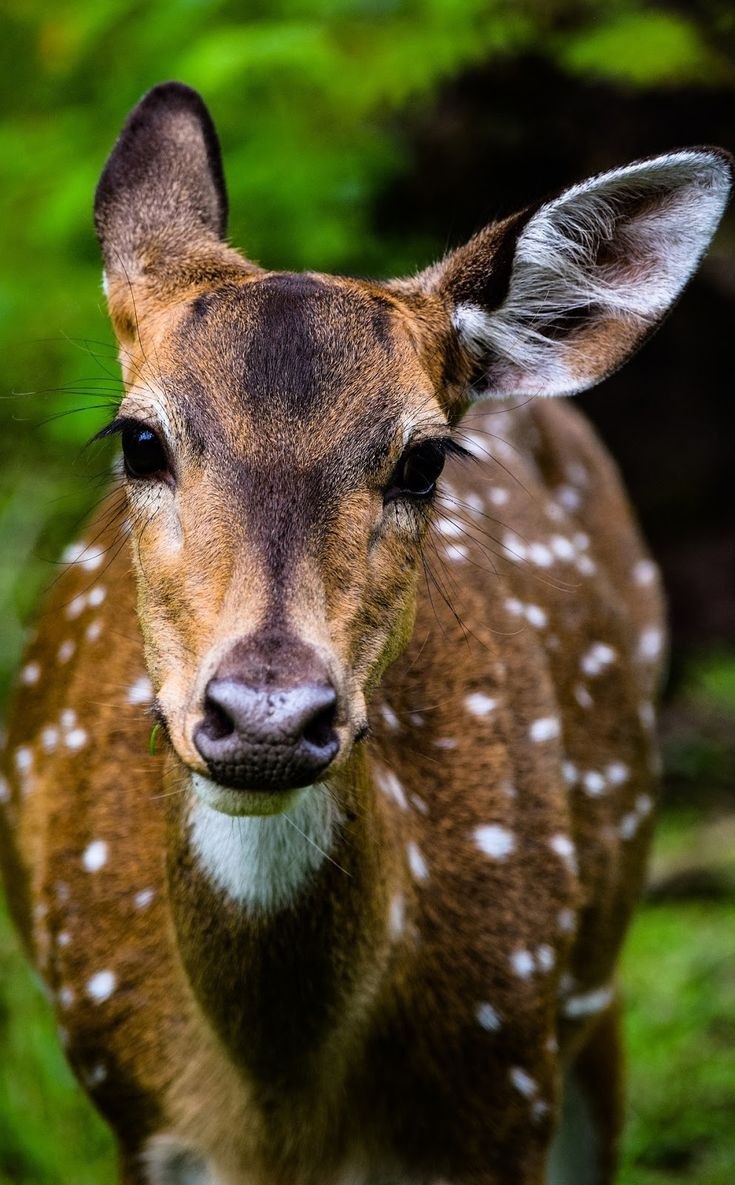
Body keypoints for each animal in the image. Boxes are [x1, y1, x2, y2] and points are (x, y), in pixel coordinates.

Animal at [0, 78, 730, 1180]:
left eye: (423, 461)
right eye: (138, 439)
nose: (266, 713)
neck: (280, 1103)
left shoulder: (506, 1084)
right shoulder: (134, 1108)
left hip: (595, 979)